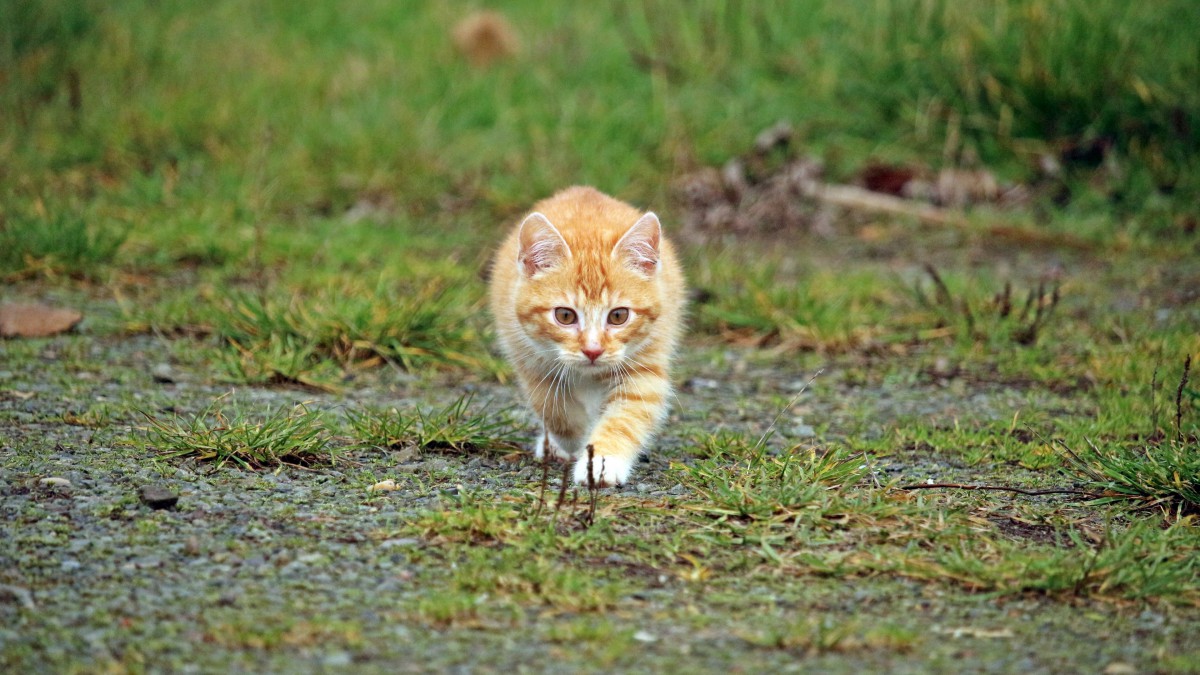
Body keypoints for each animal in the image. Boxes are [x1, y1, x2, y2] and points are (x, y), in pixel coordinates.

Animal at [487, 186, 686, 485]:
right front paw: (574, 440)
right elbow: (553, 408)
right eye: (565, 316)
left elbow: (626, 417)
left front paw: (603, 461)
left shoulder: (646, 364)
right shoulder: (527, 356)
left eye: (618, 316)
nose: (593, 350)